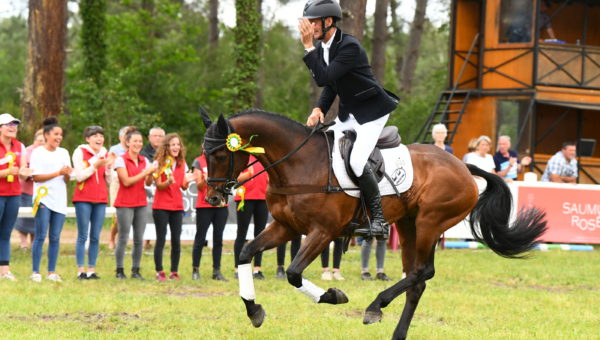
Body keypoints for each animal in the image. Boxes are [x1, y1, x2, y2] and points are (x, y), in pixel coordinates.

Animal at [202, 110, 548, 338]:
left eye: (219, 154)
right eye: (205, 155)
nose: (214, 197)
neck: (298, 163)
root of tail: (463, 165)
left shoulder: (322, 231)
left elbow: (293, 273)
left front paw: (333, 296)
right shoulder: (286, 227)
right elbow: (246, 252)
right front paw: (254, 310)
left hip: (430, 222)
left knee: (423, 272)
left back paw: (375, 305)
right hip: (409, 225)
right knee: (416, 279)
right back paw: (394, 330)